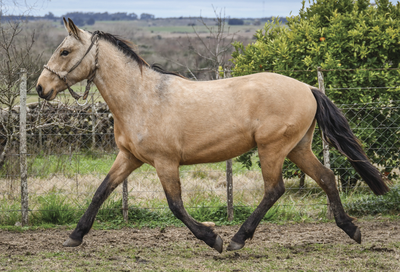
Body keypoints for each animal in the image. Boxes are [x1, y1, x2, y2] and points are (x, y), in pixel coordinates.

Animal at [36, 18, 390, 253]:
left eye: (65, 51)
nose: (41, 88)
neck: (141, 98)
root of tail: (307, 88)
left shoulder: (165, 162)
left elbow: (176, 205)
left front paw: (213, 238)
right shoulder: (129, 158)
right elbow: (100, 192)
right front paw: (74, 236)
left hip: (273, 148)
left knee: (275, 189)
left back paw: (237, 240)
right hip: (298, 148)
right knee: (327, 178)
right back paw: (352, 230)